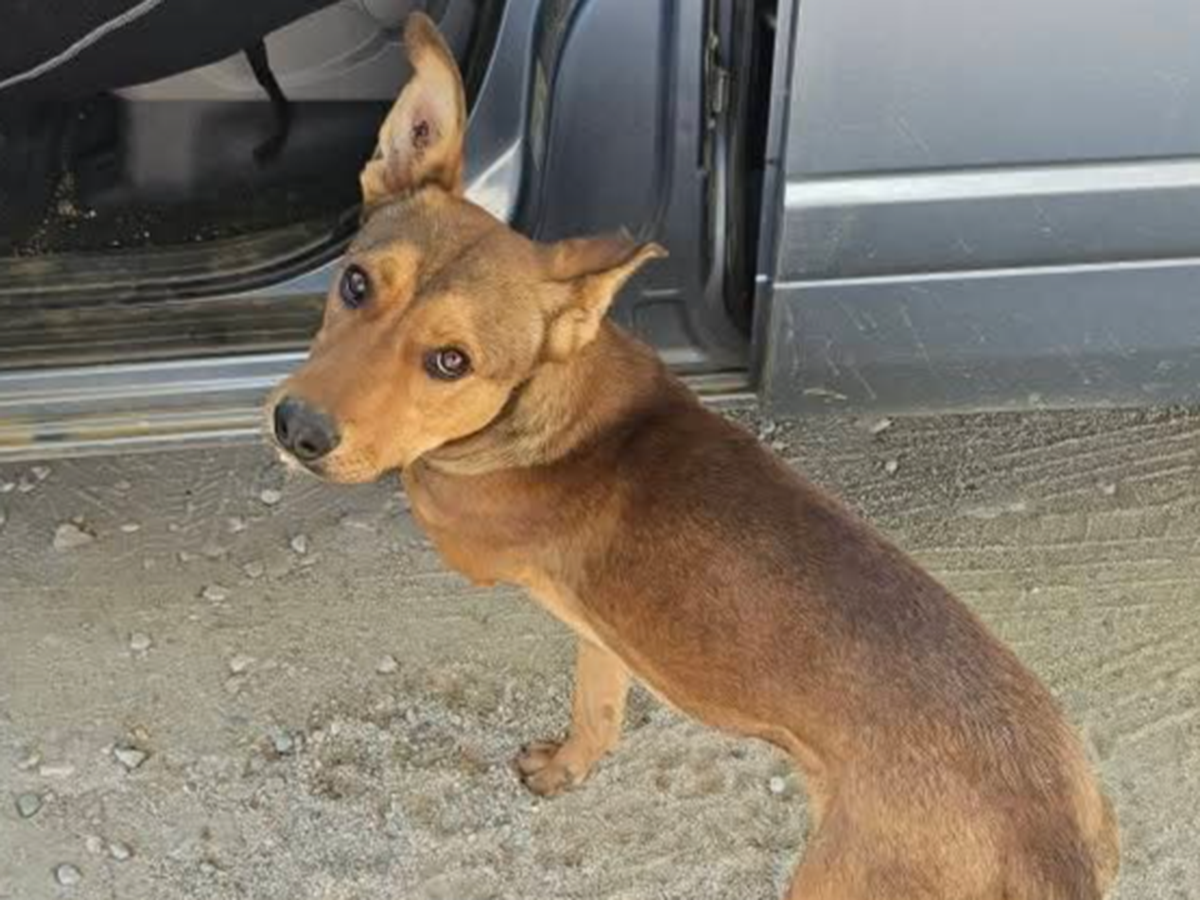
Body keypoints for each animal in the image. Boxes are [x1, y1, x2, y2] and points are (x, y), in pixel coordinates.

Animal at [269, 15, 1119, 899]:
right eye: (355, 284)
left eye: (450, 362)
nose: (298, 428)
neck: (552, 400)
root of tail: (1047, 841)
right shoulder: (603, 635)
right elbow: (597, 706)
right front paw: (568, 767)